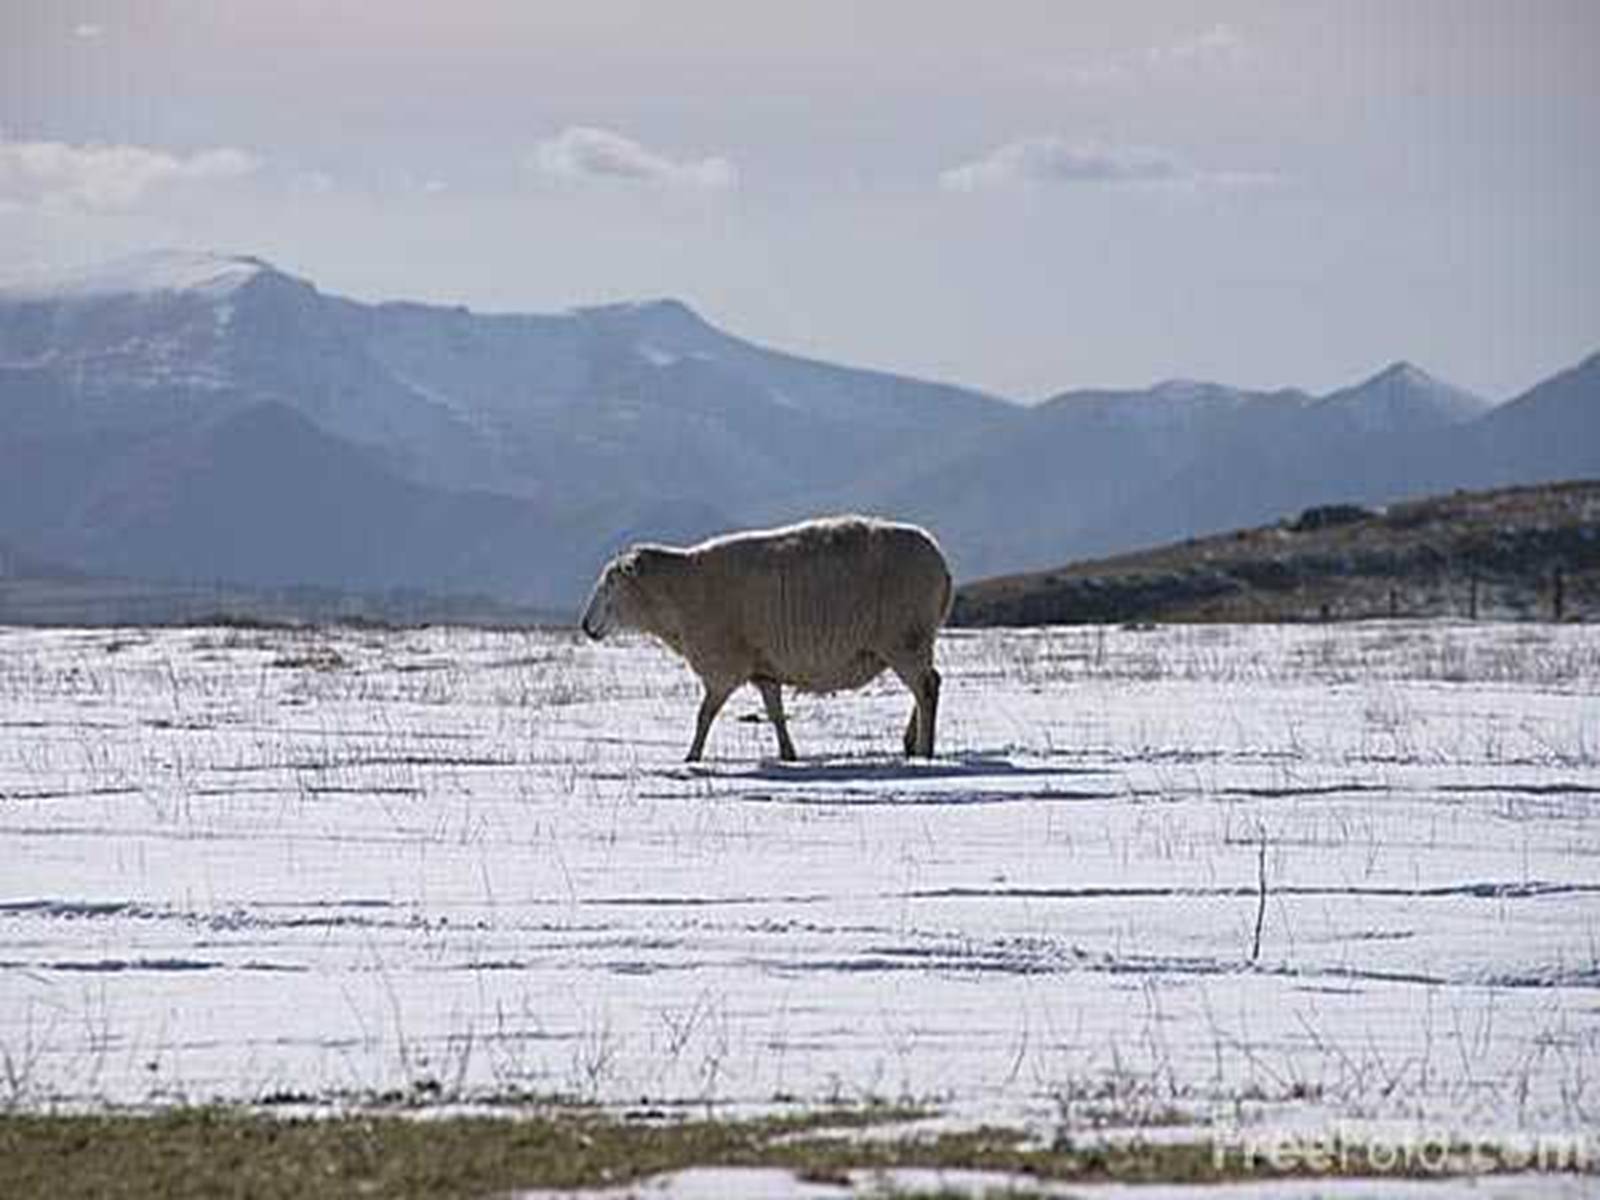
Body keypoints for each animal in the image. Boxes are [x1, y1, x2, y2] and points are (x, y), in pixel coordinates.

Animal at [582, 515, 947, 761]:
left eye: (611, 584)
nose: (586, 626)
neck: (678, 593)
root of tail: (942, 564)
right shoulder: (763, 668)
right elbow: (775, 713)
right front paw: (788, 754)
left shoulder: (723, 668)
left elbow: (704, 716)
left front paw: (692, 758)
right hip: (914, 640)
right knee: (928, 683)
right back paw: (910, 742)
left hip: (905, 637)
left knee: (926, 688)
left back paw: (924, 750)